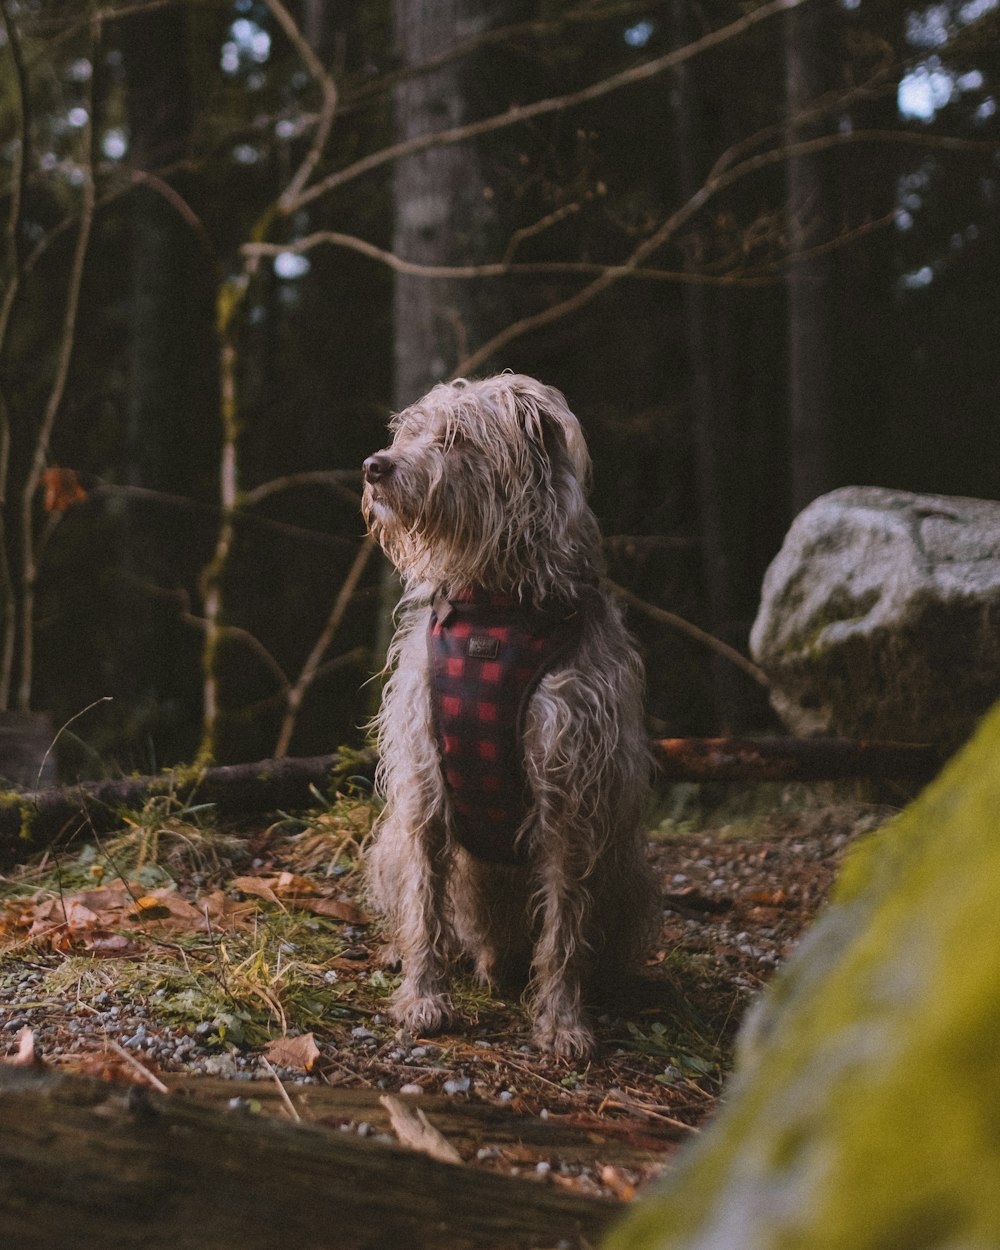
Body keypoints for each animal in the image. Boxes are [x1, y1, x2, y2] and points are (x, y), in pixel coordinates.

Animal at [362, 370, 655, 1055]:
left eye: (454, 439)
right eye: (409, 432)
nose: (373, 466)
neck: (494, 609)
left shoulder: (570, 790)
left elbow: (566, 927)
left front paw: (563, 1020)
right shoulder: (424, 780)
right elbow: (425, 900)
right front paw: (423, 995)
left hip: (626, 870)